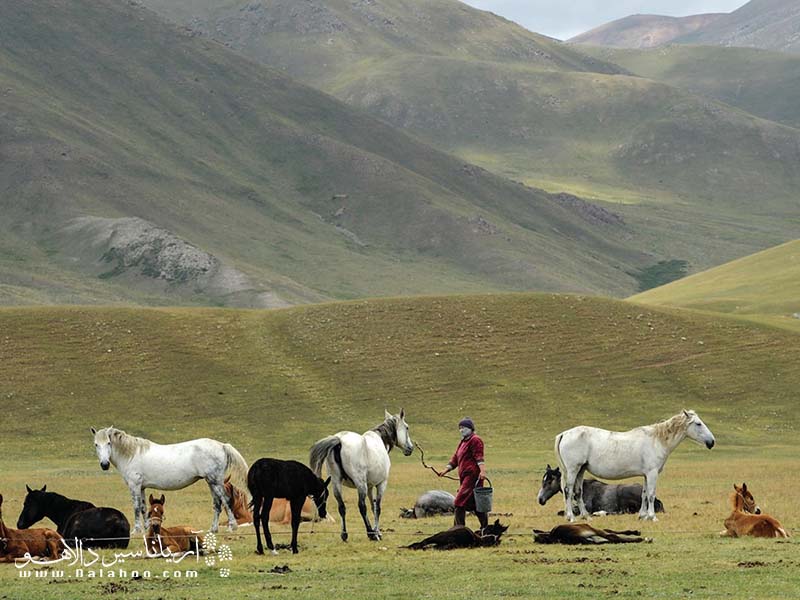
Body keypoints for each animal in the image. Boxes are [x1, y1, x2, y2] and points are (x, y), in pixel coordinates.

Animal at [90, 426, 247, 536]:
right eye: (96, 444)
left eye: (109, 443)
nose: (104, 465)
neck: (131, 454)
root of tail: (222, 445)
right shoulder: (141, 487)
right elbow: (143, 508)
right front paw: (147, 528)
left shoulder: (134, 486)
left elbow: (136, 508)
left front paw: (136, 530)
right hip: (211, 482)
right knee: (217, 504)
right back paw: (213, 529)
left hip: (215, 481)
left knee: (226, 501)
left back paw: (232, 527)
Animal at [310, 408, 416, 544]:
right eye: (407, 427)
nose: (410, 448)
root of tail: (339, 440)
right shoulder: (381, 484)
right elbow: (377, 508)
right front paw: (377, 533)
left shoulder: (370, 486)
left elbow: (372, 506)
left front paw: (377, 532)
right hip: (360, 484)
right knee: (361, 507)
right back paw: (370, 533)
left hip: (336, 482)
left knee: (342, 507)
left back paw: (344, 535)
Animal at [552, 410, 716, 524]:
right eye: (698, 423)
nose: (712, 442)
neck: (656, 440)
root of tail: (565, 434)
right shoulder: (652, 473)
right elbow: (651, 494)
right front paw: (652, 517)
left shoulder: (646, 475)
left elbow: (644, 494)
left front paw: (642, 516)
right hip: (573, 470)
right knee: (568, 491)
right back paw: (571, 517)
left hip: (580, 470)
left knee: (577, 492)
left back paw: (586, 516)